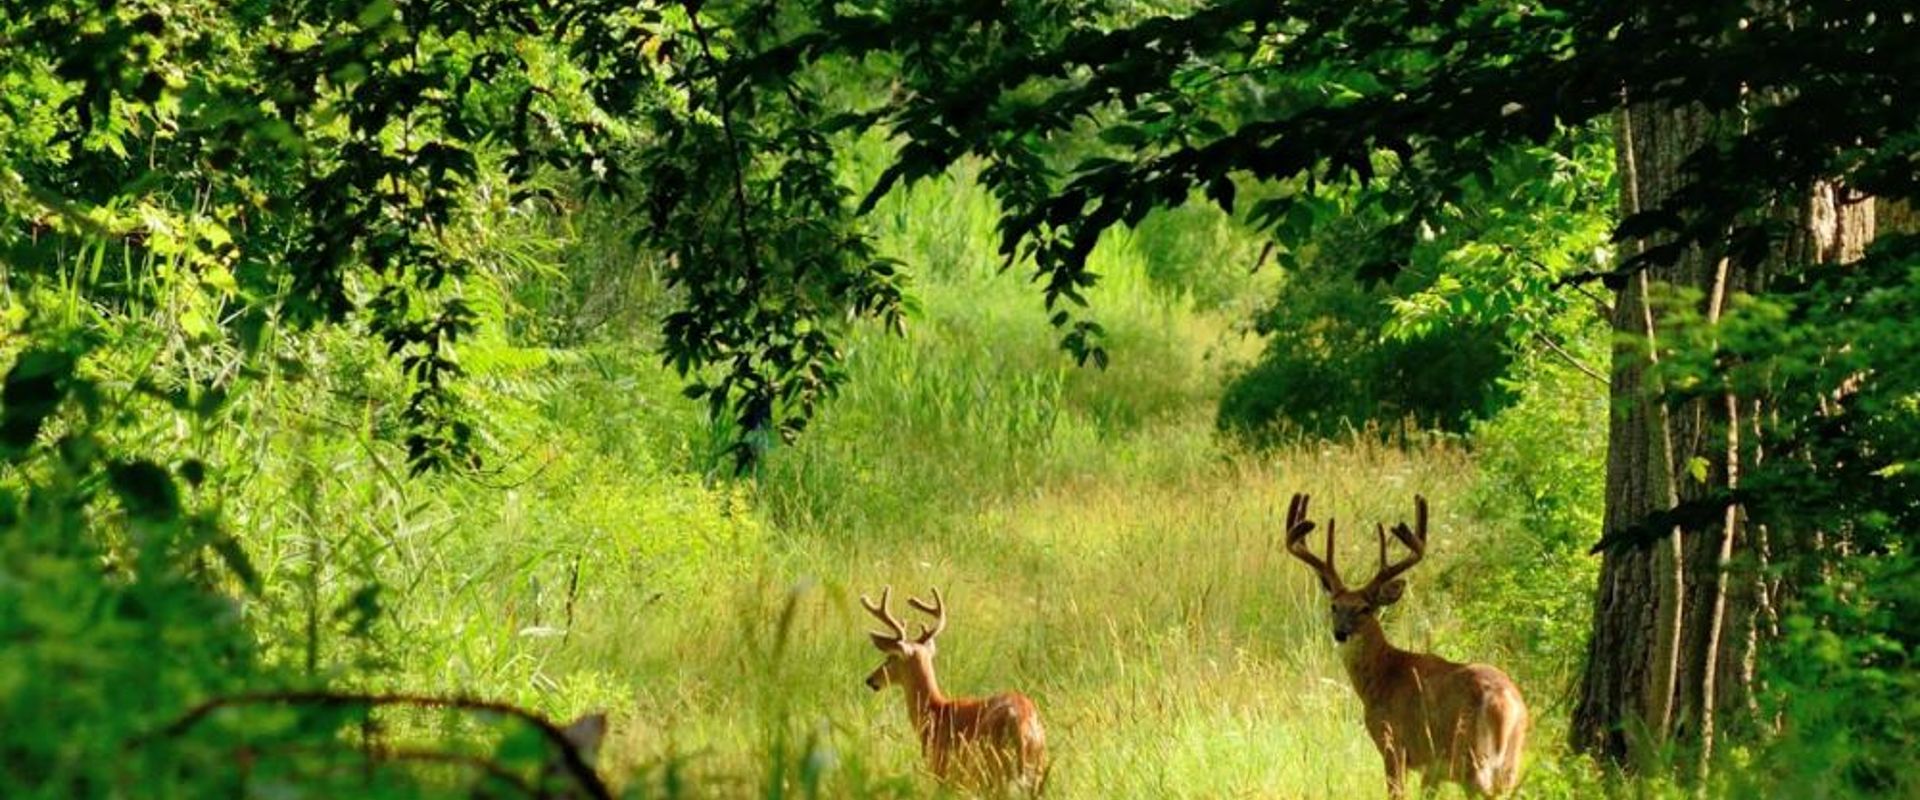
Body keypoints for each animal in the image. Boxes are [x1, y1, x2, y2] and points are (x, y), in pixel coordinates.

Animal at [861, 585, 1049, 797]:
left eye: (891, 657)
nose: (871, 679)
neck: (936, 712)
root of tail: (1021, 723)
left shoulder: (941, 770)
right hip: (1038, 772)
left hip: (992, 770)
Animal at [1281, 493, 1529, 799]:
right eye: (1334, 606)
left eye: (1365, 609)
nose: (1341, 633)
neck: (1383, 674)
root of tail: (1504, 702)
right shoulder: (1431, 768)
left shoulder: (1393, 741)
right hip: (1509, 761)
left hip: (1471, 757)